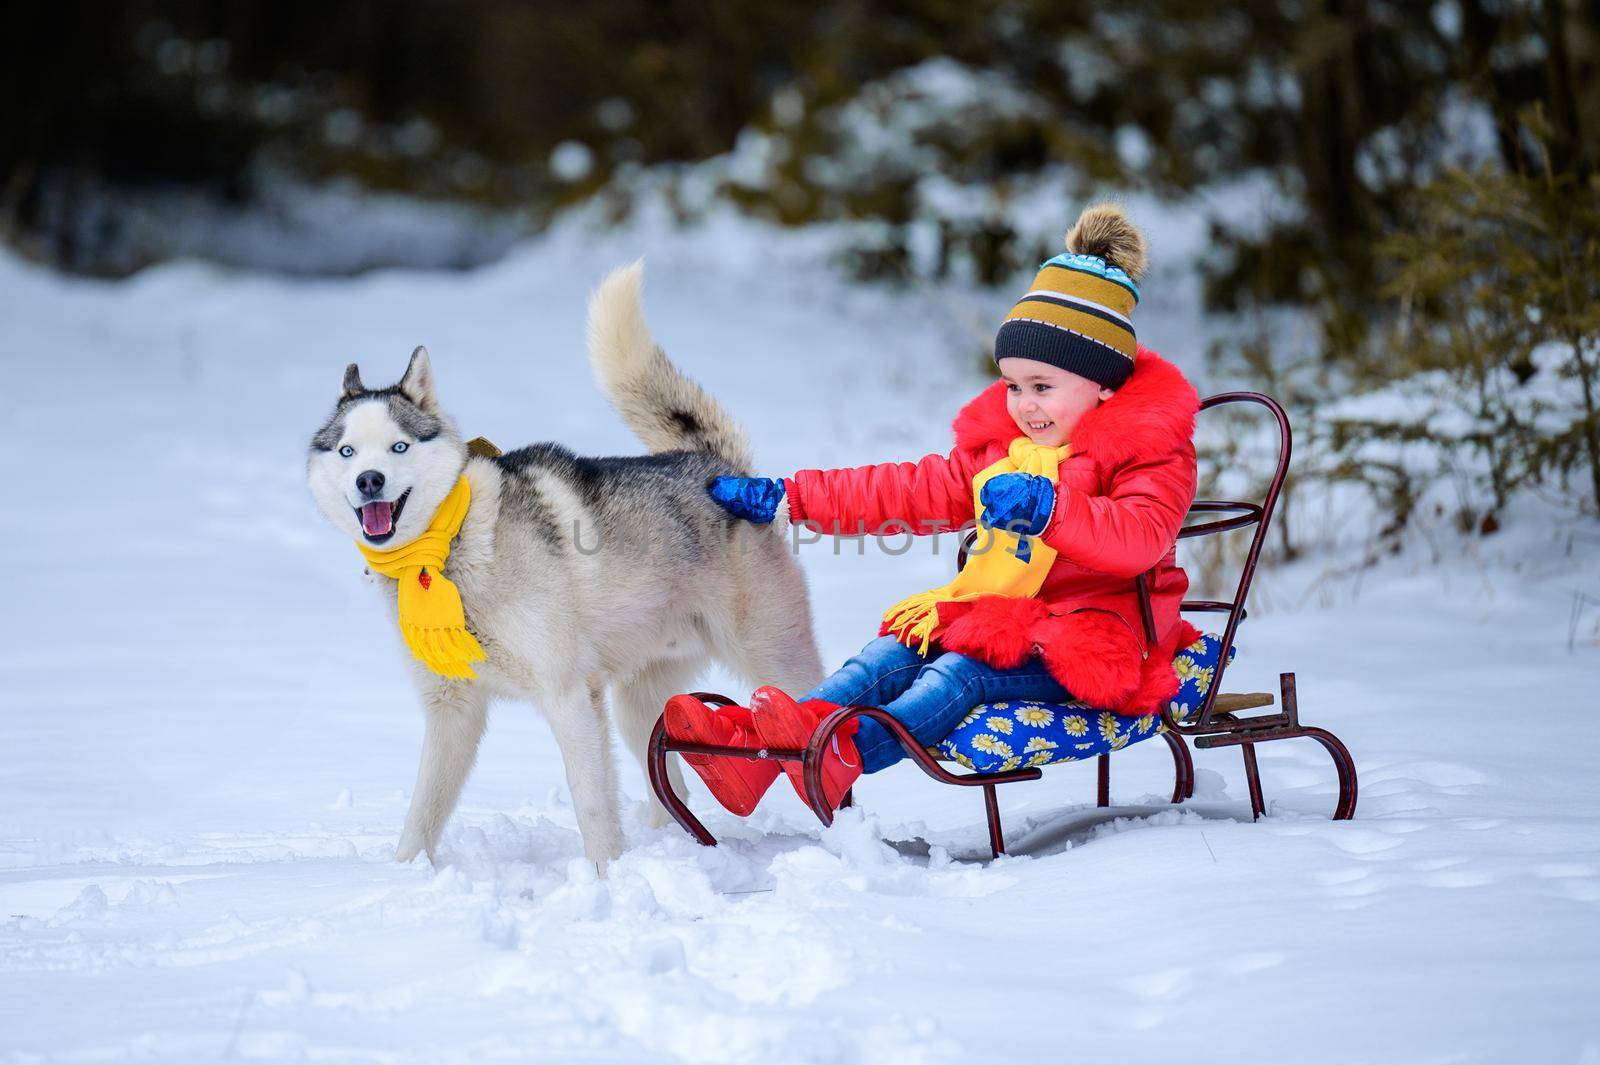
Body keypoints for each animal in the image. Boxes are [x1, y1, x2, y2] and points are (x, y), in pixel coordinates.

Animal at [307, 260, 825, 869]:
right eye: (347, 452)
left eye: (399, 448)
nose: (370, 482)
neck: (453, 549)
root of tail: (720, 469)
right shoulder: (453, 710)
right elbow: (421, 817)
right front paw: (406, 875)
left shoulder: (569, 696)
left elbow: (593, 808)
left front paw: (606, 875)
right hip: (640, 710)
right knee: (670, 786)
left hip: (776, 668)